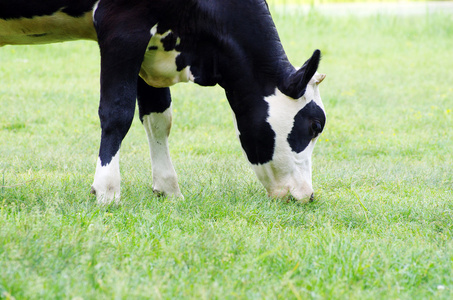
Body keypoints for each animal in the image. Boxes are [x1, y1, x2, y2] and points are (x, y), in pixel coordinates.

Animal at [0, 0, 324, 205]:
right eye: (315, 126)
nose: (308, 195)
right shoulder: (123, 28)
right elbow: (117, 111)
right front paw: (107, 191)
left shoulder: (151, 47)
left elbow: (159, 118)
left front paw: (168, 189)